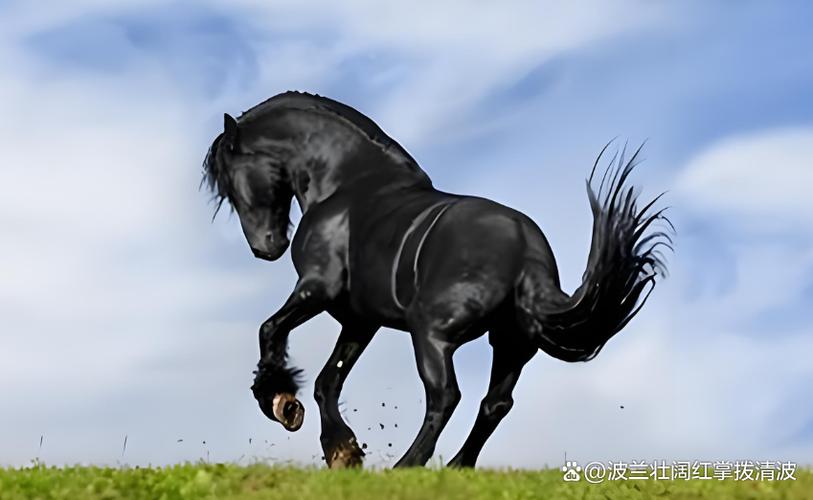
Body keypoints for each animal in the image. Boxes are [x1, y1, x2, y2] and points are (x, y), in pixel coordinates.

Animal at [201, 91, 671, 468]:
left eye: (231, 184)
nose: (266, 248)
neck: (345, 183)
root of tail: (527, 251)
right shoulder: (359, 320)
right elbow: (326, 381)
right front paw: (343, 450)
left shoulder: (317, 290)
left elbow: (270, 331)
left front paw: (280, 402)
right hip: (510, 344)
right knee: (494, 403)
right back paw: (458, 467)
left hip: (431, 333)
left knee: (446, 396)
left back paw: (409, 466)